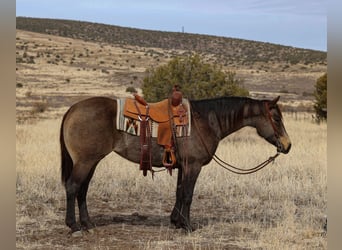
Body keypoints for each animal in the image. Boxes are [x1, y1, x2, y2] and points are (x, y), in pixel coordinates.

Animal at [60, 95, 290, 232]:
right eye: (277, 119)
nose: (287, 146)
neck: (206, 120)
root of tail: (73, 108)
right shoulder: (193, 166)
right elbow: (188, 194)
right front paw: (187, 225)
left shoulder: (183, 166)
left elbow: (179, 192)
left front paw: (176, 221)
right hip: (85, 161)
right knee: (72, 187)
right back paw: (73, 225)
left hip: (91, 162)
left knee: (82, 190)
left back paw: (88, 223)